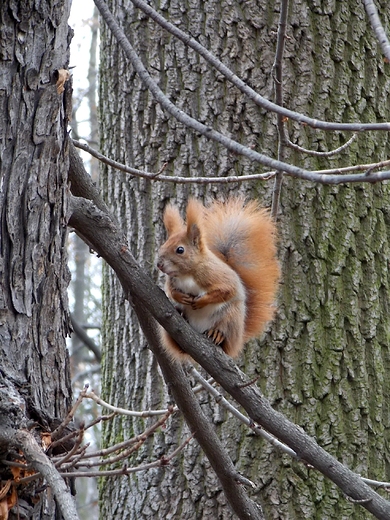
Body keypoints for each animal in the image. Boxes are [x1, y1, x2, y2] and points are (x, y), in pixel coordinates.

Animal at [156, 197, 280, 360]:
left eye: (180, 250)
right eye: (163, 245)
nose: (159, 264)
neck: (186, 274)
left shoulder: (216, 276)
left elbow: (226, 291)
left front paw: (201, 301)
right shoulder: (172, 280)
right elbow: (170, 290)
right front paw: (181, 297)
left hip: (231, 316)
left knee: (224, 332)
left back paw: (217, 334)